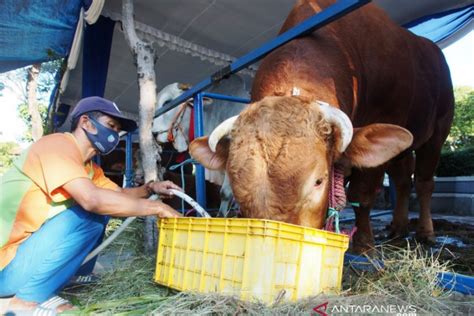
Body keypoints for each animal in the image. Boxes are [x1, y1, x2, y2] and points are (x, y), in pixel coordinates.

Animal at [187, 0, 454, 253]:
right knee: (403, 179)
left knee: (424, 181)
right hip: (404, 147)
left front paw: (364, 245)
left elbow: (362, 194)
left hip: (439, 129)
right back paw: (398, 228)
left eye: (318, 181)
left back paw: (425, 232)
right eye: (236, 185)